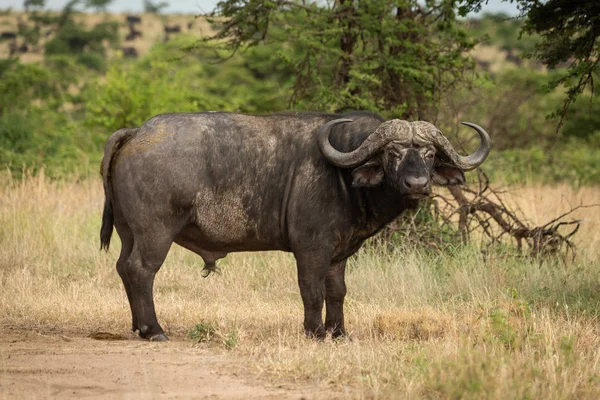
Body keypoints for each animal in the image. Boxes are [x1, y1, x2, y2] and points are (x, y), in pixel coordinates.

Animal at [99, 111, 492, 340]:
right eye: (392, 153)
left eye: (429, 154)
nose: (417, 184)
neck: (345, 176)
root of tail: (137, 132)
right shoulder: (311, 249)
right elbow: (312, 290)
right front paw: (314, 331)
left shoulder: (339, 253)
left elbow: (337, 291)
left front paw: (339, 332)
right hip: (155, 233)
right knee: (141, 271)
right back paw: (153, 330)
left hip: (128, 232)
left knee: (122, 268)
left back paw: (136, 326)